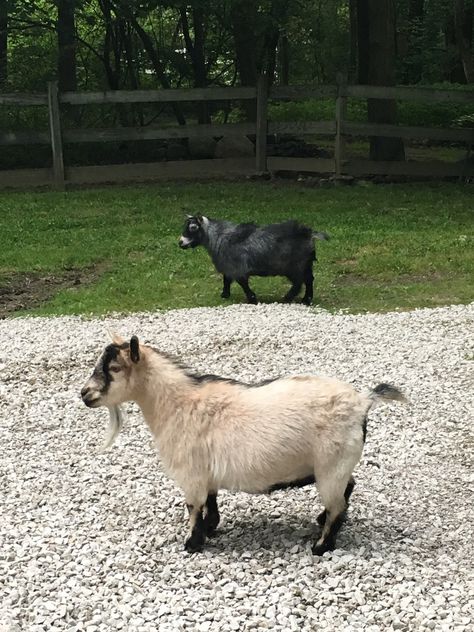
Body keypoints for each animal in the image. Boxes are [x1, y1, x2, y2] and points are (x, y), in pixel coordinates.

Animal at [79, 334, 406, 556]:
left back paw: (321, 545)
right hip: (336, 465)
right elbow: (210, 501)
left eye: (114, 368)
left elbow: (193, 507)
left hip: (331, 466)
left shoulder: (191, 474)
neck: (177, 404)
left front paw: (192, 543)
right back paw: (320, 520)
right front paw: (211, 528)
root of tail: (363, 401)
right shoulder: (206, 473)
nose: (84, 394)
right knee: (348, 488)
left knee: (338, 504)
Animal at [179, 216, 330, 304]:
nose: (180, 243)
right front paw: (225, 295)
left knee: (299, 282)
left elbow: (242, 283)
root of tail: (308, 233)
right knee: (309, 280)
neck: (217, 238)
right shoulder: (229, 266)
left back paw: (287, 298)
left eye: (193, 228)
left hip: (295, 266)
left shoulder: (237, 267)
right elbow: (226, 280)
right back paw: (306, 300)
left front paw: (252, 298)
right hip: (306, 264)